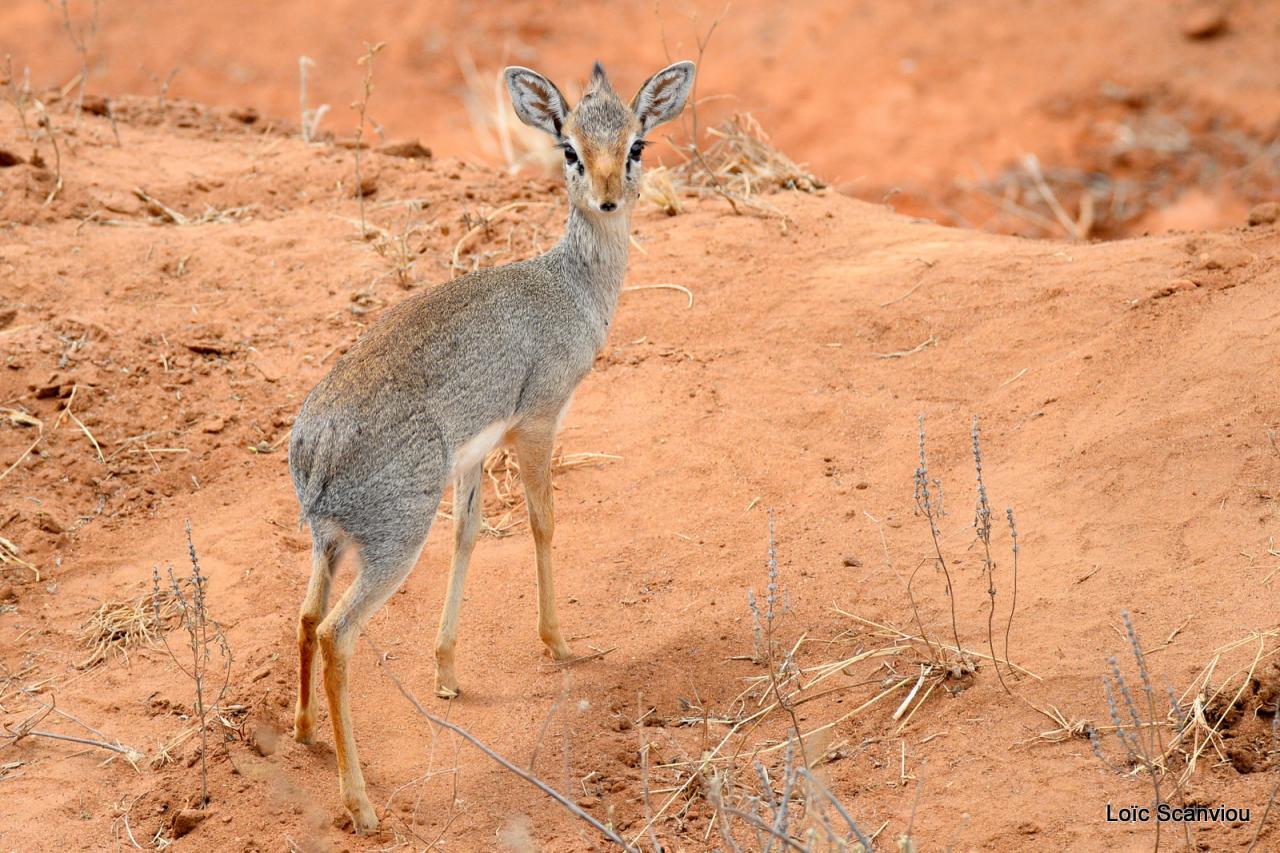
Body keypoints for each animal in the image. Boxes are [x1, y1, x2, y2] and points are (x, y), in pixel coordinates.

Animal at [289, 61, 696, 829]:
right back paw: (361, 805)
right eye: (568, 148)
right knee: (336, 635)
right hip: (391, 544)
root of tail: (314, 446)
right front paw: (560, 643)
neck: (568, 286)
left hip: (328, 543)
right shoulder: (538, 422)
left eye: (636, 143)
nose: (606, 198)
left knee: (304, 618)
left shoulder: (476, 454)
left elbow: (470, 536)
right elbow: (542, 522)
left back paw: (302, 734)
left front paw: (447, 671)